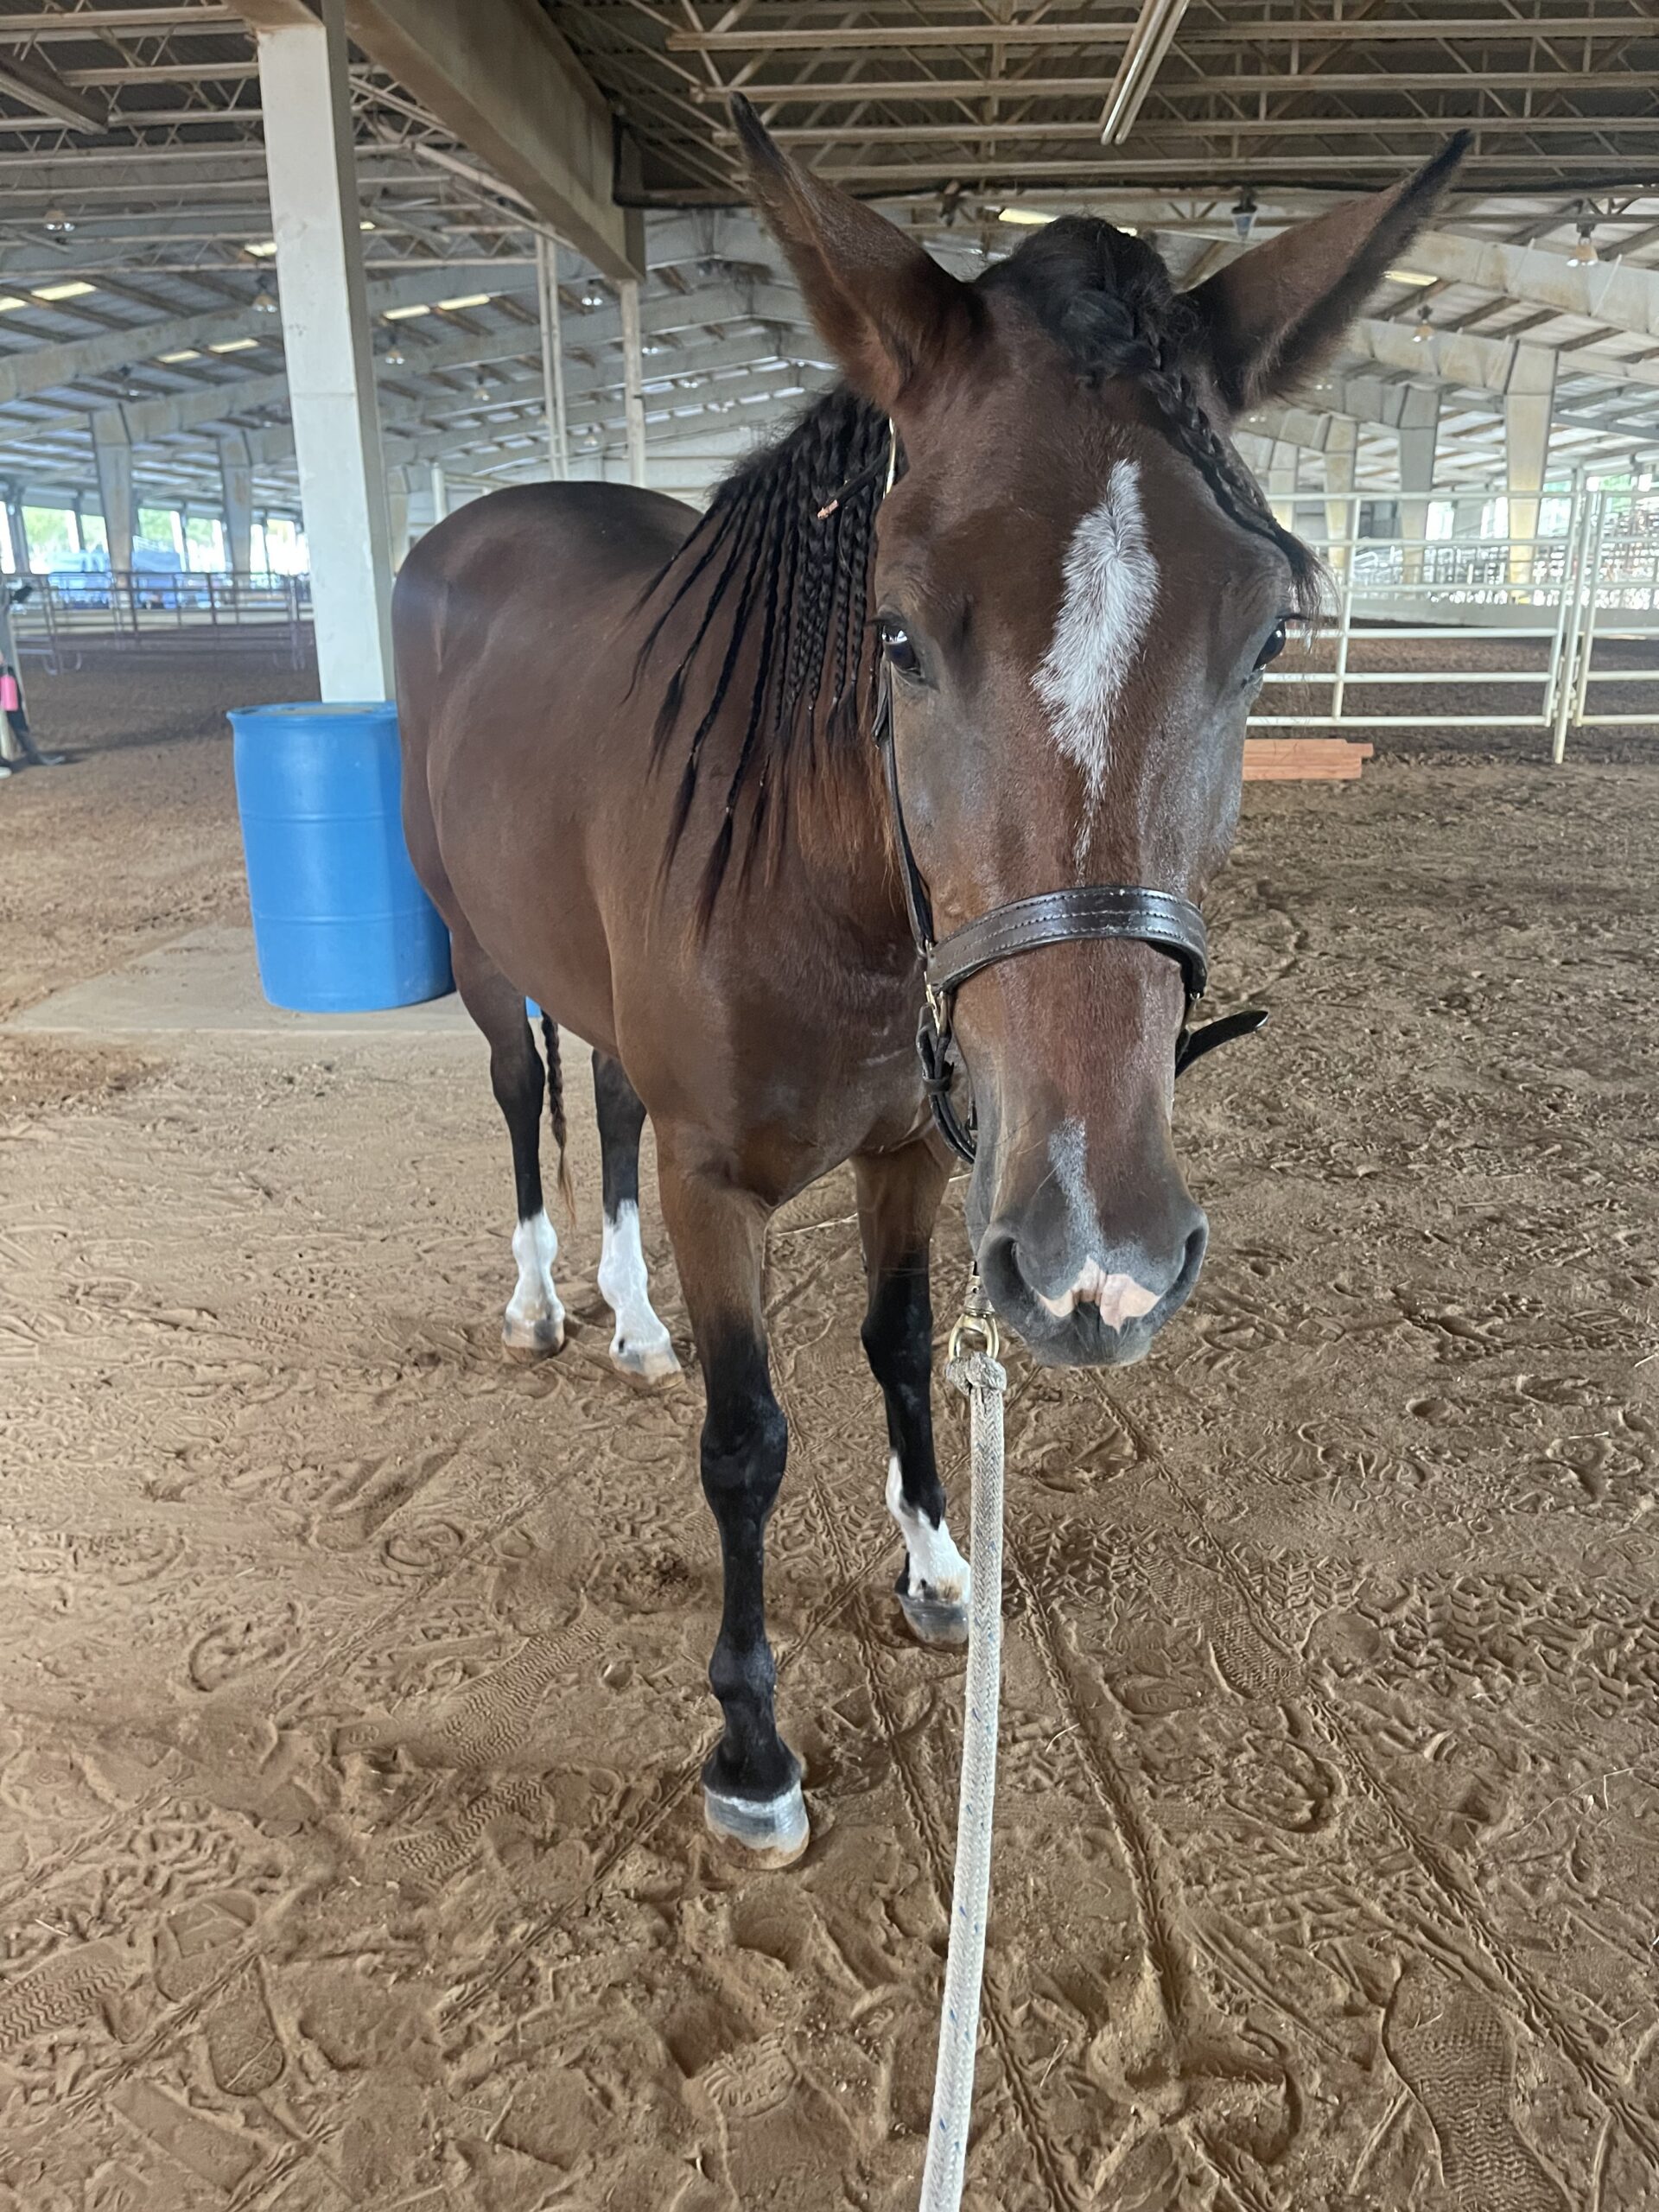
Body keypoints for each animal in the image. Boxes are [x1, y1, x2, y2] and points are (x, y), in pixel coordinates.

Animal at [393, 104, 1465, 1867]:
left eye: (1264, 640)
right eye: (893, 635)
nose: (1105, 1259)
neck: (818, 895)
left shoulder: (910, 1150)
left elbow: (899, 1351)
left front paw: (942, 1566)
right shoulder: (716, 1182)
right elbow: (748, 1444)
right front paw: (751, 1746)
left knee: (600, 1103)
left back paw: (629, 1324)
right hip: (486, 967)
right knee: (519, 1093)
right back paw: (546, 1303)